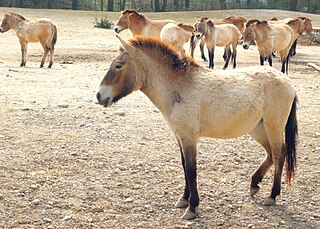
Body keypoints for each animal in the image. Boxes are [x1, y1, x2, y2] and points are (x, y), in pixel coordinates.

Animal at [95, 35, 298, 220]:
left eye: (118, 65)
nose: (99, 96)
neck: (178, 87)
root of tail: (287, 81)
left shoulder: (189, 137)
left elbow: (191, 169)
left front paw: (192, 208)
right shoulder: (180, 136)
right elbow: (185, 166)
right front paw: (184, 200)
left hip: (273, 127)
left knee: (279, 154)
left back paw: (272, 195)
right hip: (258, 129)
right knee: (271, 154)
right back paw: (254, 184)